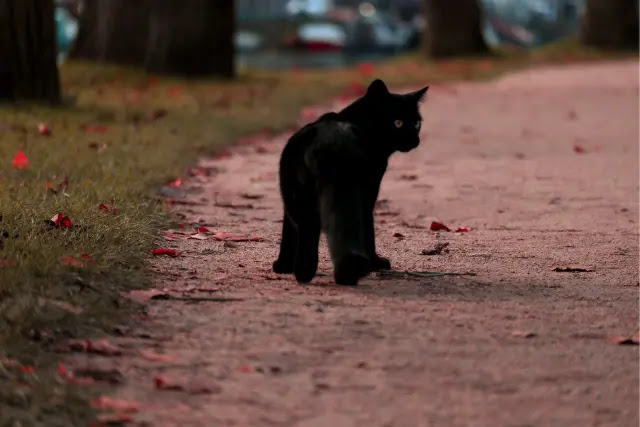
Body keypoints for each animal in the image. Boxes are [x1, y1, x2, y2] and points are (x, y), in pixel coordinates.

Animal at [272, 80, 428, 288]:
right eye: (398, 122)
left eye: (417, 123)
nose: (415, 140)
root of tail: (329, 141)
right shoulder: (370, 191)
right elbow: (368, 230)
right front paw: (377, 262)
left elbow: (287, 231)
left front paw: (283, 266)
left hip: (298, 193)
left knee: (306, 227)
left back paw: (305, 272)